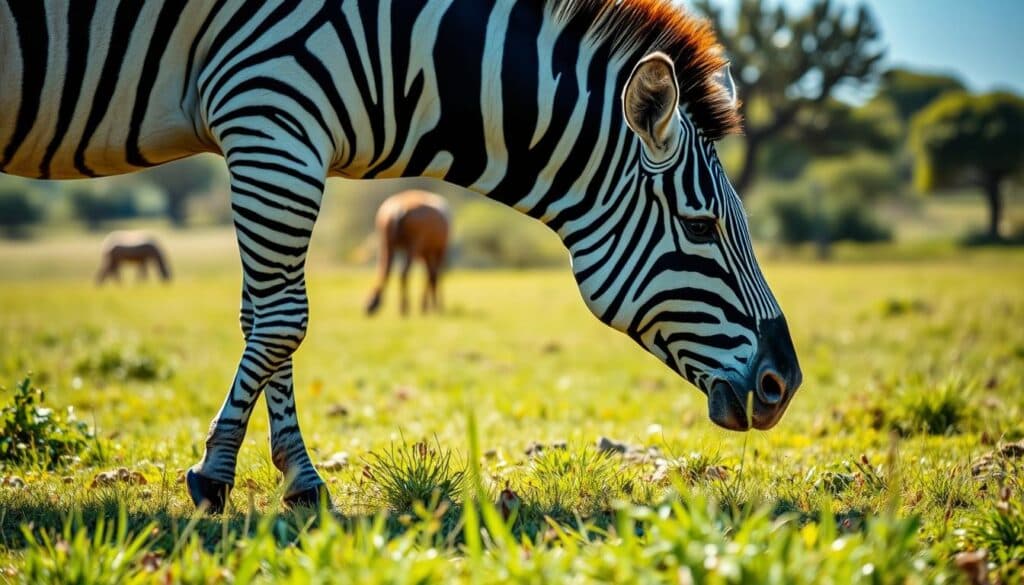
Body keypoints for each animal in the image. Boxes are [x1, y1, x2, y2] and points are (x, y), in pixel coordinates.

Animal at [1, 0, 802, 512]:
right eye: (701, 226)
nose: (784, 384)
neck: (396, 48)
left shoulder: (276, 132)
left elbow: (262, 316)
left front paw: (296, 479)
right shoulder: (272, 112)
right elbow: (284, 320)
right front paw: (215, 472)